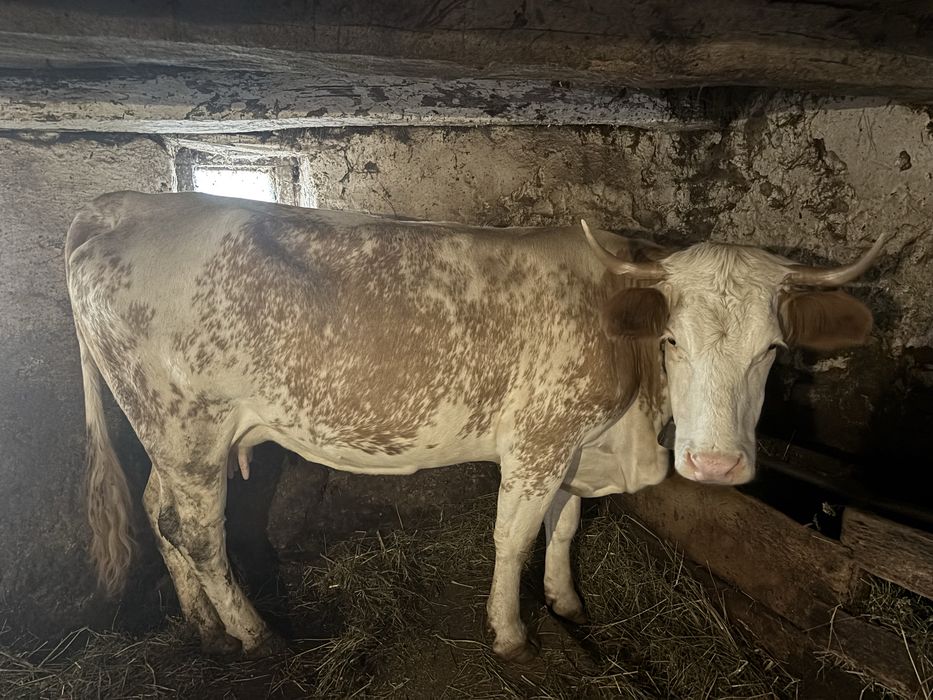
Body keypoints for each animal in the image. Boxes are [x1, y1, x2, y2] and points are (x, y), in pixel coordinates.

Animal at [66, 191, 883, 662]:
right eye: (673, 339)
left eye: (771, 350)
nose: (716, 466)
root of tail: (126, 204)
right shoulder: (539, 438)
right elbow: (513, 537)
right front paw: (511, 633)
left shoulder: (576, 446)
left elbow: (563, 528)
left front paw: (565, 601)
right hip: (188, 427)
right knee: (199, 533)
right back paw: (254, 636)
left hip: (168, 435)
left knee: (160, 515)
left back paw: (203, 626)